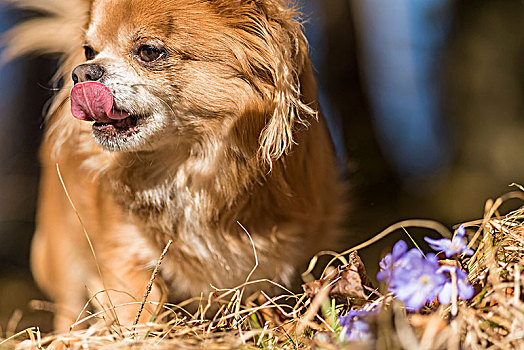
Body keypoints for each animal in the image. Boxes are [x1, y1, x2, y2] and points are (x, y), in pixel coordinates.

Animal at [9, 0, 344, 330]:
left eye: (148, 51)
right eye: (89, 51)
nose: (81, 72)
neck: (189, 168)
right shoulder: (123, 255)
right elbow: (141, 304)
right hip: (65, 255)